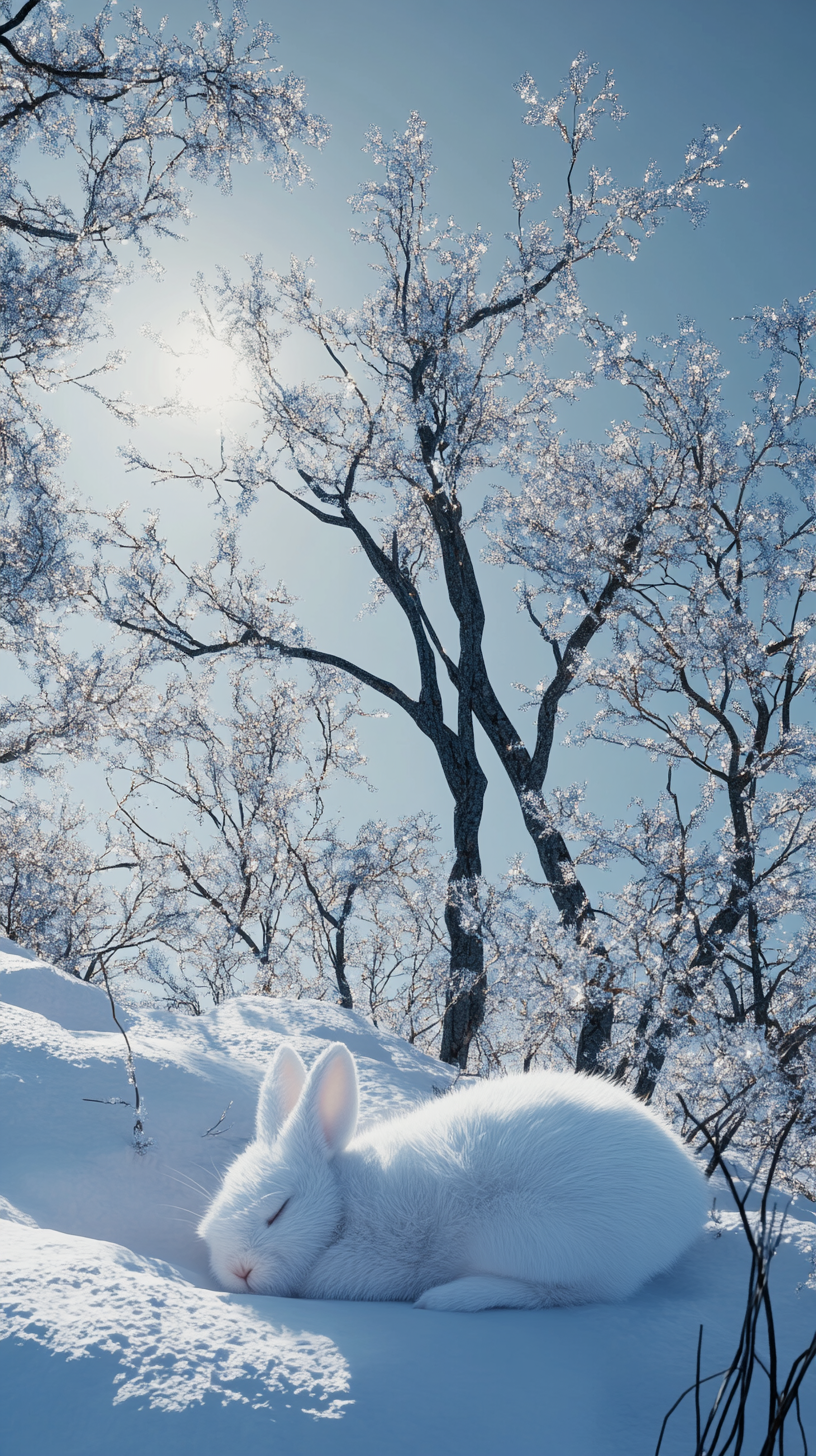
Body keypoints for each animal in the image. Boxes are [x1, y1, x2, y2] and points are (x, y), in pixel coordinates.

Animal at [199, 1042, 708, 1316]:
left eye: (278, 1211)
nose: (239, 1270)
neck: (341, 1212)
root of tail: (690, 1197)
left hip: (529, 1233)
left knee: (571, 1293)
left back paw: (449, 1298)